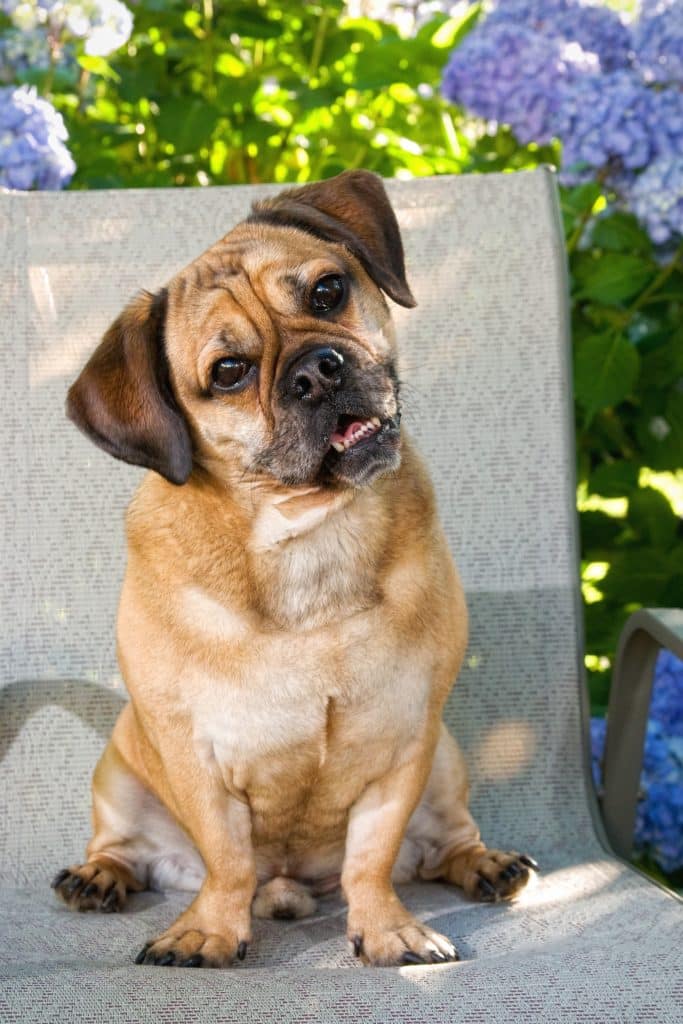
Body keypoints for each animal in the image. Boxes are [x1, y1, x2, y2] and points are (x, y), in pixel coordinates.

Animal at [53, 169, 536, 966]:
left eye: (327, 292)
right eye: (228, 373)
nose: (317, 369)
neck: (309, 533)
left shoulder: (406, 743)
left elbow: (371, 856)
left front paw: (387, 930)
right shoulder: (193, 754)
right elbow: (227, 857)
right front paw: (210, 933)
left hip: (446, 764)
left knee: (439, 844)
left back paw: (484, 863)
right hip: (119, 774)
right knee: (131, 848)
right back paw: (100, 876)